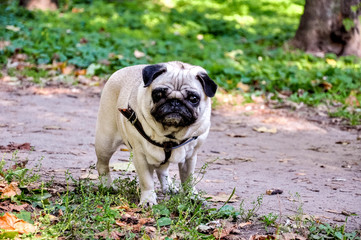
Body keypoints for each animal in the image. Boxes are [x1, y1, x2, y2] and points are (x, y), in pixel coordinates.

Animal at [94, 61, 217, 205]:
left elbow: (189, 180)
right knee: (102, 164)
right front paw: (148, 200)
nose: (175, 102)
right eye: (158, 95)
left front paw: (192, 196)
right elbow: (146, 181)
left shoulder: (190, 157)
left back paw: (169, 186)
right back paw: (107, 186)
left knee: (162, 169)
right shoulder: (141, 157)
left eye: (193, 98)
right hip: (106, 142)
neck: (170, 134)